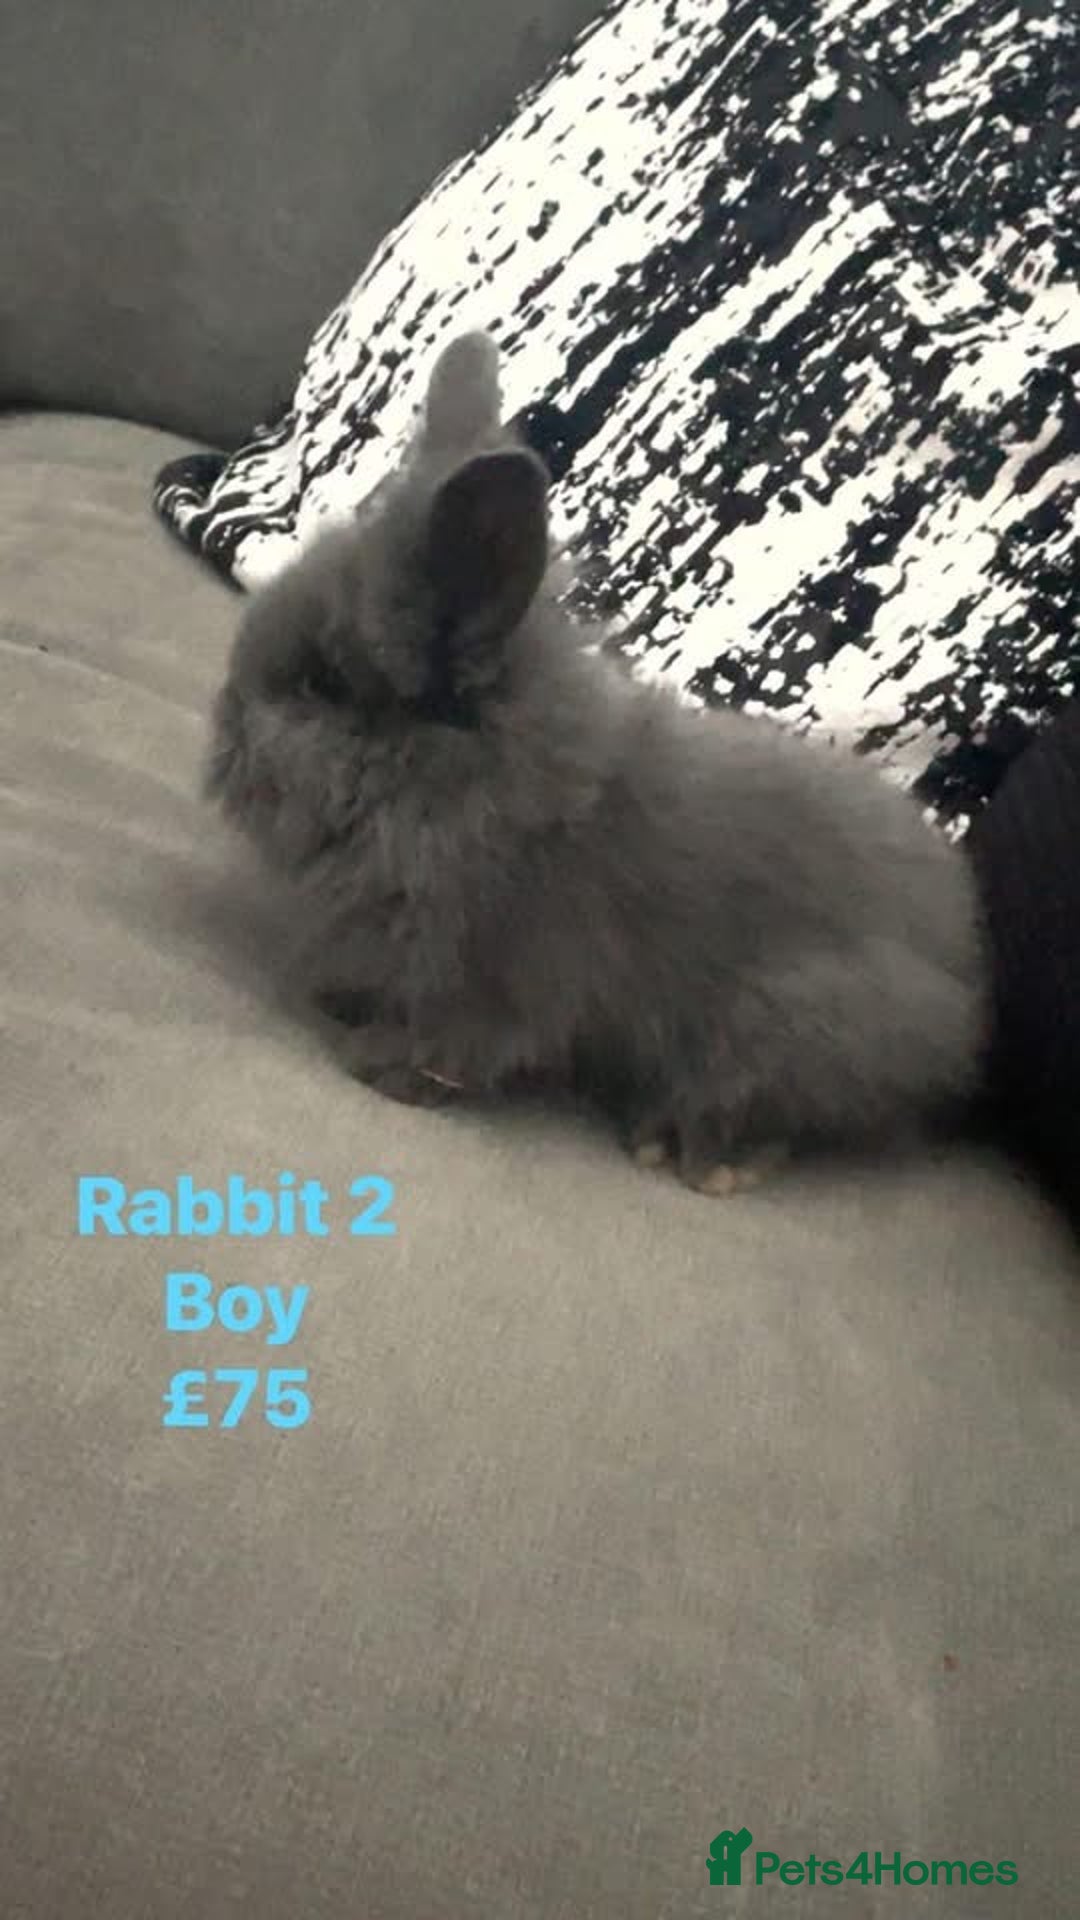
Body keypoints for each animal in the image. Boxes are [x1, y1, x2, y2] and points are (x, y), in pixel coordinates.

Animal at [206, 330, 987, 1193]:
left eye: (324, 684)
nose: (226, 722)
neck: (477, 794)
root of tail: (966, 996)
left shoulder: (495, 981)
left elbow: (458, 1043)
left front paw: (377, 1064)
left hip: (789, 1025)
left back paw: (694, 1156)